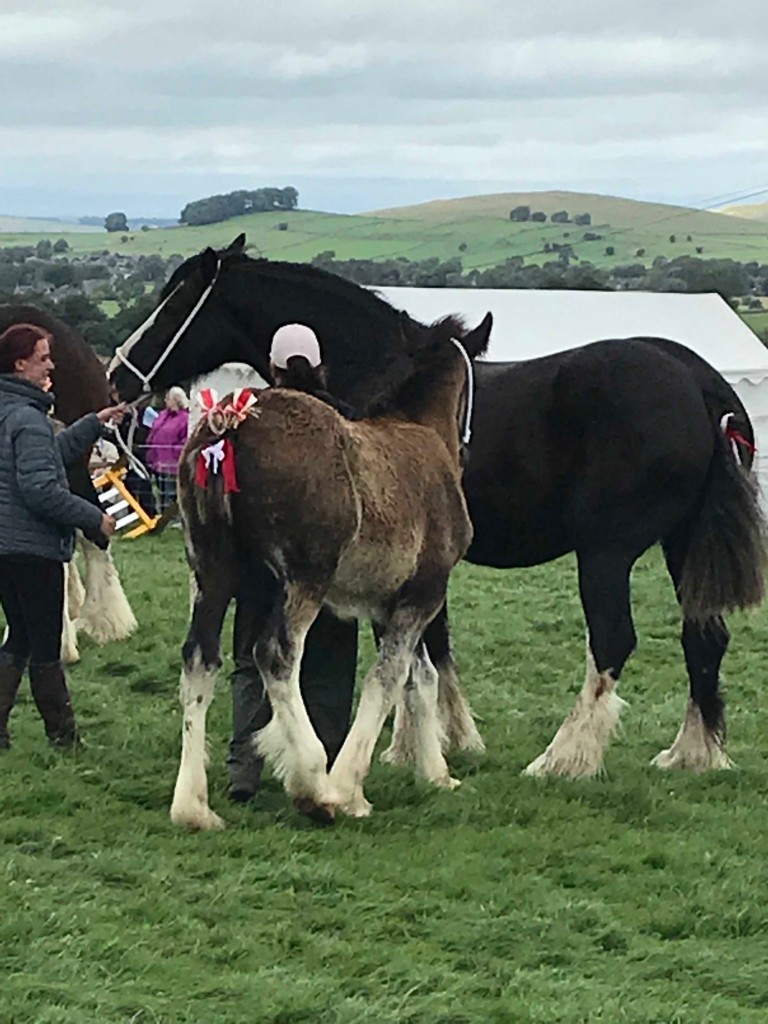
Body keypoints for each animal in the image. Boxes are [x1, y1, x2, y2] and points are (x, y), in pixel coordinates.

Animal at [107, 237, 765, 774]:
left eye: (174, 301)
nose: (116, 374)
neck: (385, 374)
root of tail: (699, 379)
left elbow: (412, 653)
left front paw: (417, 745)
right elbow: (434, 646)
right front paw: (445, 737)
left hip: (607, 552)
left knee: (613, 640)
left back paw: (563, 758)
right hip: (682, 544)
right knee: (704, 637)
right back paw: (693, 753)